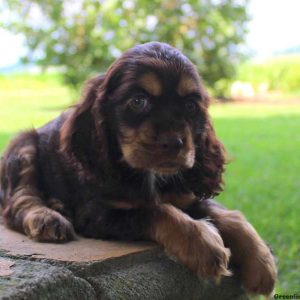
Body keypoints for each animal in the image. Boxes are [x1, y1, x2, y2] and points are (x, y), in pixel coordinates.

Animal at [0, 41, 276, 296]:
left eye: (190, 105)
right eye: (138, 101)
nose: (173, 143)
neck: (149, 175)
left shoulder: (186, 195)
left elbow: (229, 215)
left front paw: (262, 264)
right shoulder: (97, 213)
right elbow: (155, 210)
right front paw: (203, 244)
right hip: (23, 146)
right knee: (19, 202)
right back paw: (48, 217)